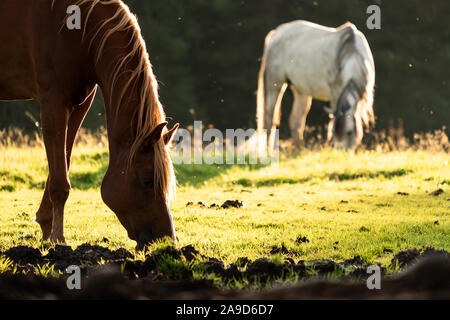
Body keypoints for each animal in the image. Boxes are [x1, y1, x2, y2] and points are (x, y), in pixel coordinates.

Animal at [0, 0, 179, 250]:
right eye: (147, 180)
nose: (165, 241)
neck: (80, 31)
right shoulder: (53, 101)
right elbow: (60, 181)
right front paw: (58, 238)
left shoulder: (79, 104)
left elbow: (61, 163)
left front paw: (46, 226)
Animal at [256, 20, 376, 150]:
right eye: (333, 132)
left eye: (349, 132)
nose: (341, 152)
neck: (351, 53)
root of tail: (275, 33)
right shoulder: (335, 93)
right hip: (274, 84)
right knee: (270, 118)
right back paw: (270, 151)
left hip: (301, 91)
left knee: (295, 121)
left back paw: (299, 150)